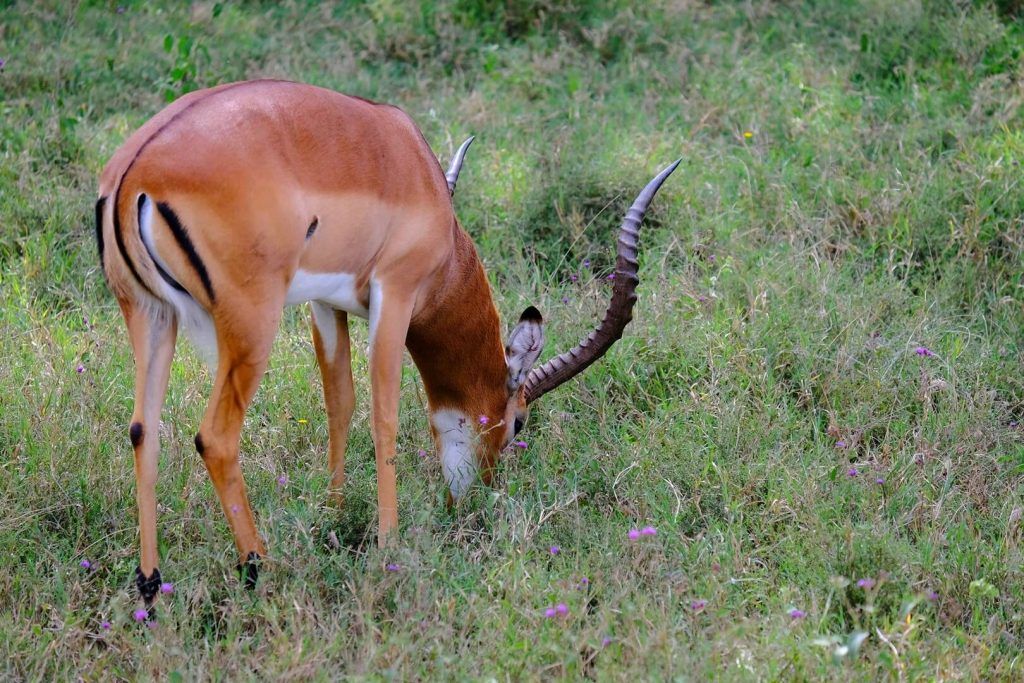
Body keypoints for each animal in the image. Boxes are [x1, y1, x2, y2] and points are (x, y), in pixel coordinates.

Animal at [95, 79, 679, 605]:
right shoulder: (394, 296)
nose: (473, 501)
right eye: (518, 423)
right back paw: (258, 569)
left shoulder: (325, 304)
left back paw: (150, 586)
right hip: (250, 325)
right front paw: (389, 546)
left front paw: (333, 515)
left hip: (150, 315)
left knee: (143, 429)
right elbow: (386, 417)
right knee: (214, 437)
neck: (414, 169)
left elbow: (340, 403)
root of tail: (136, 175)